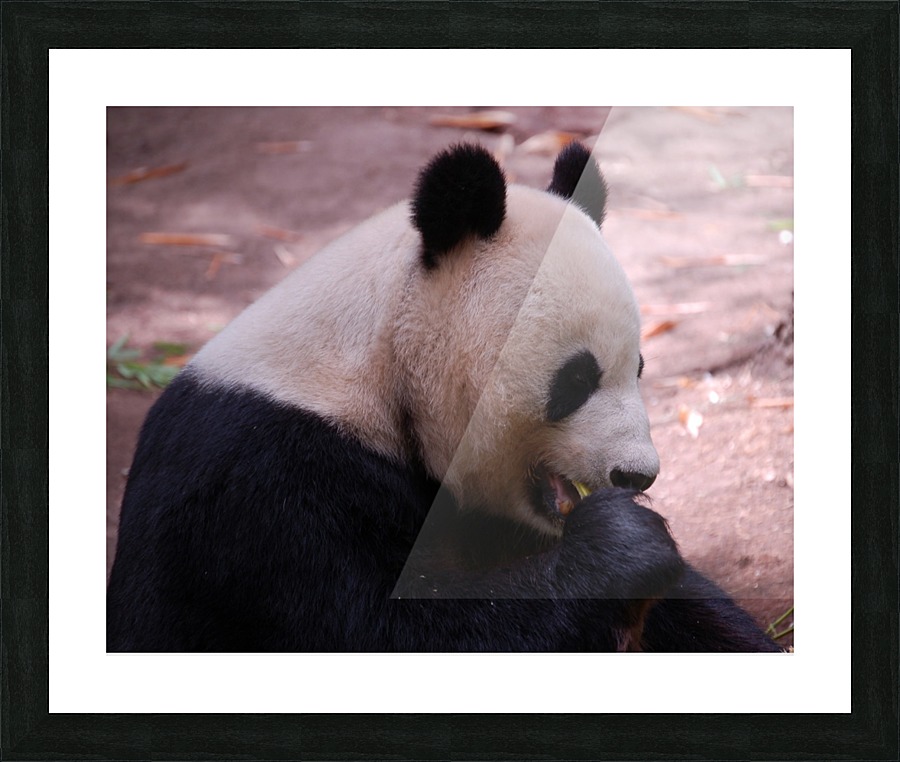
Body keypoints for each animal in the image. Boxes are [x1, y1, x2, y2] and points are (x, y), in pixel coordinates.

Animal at [106, 142, 779, 652]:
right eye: (576, 381)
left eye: (637, 368)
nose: (637, 475)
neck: (380, 362)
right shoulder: (267, 490)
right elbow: (390, 628)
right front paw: (623, 546)